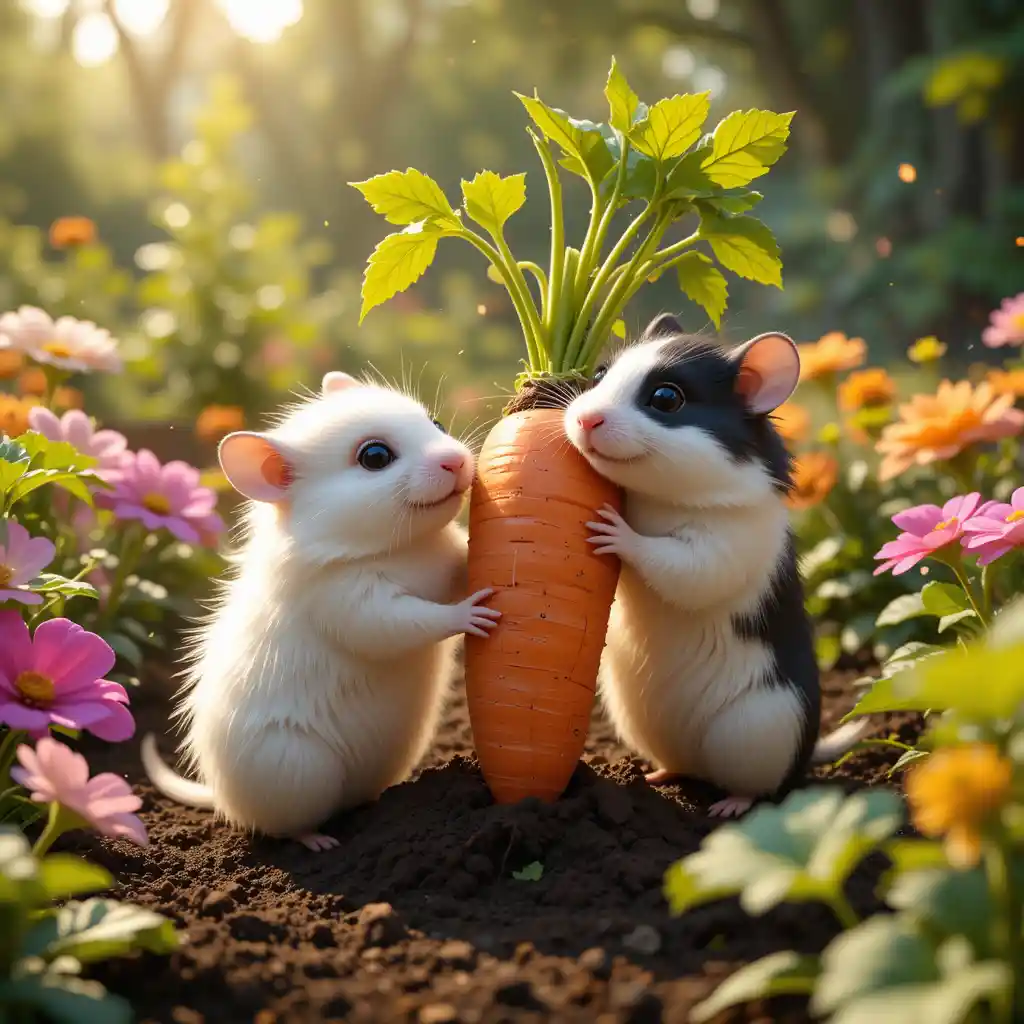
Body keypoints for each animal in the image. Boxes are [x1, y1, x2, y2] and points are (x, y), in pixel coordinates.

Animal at [141, 371, 500, 850]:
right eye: (374, 457)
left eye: (437, 423)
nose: (457, 462)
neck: (401, 548)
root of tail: (223, 798)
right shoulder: (345, 600)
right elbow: (399, 624)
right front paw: (469, 616)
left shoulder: (443, 561)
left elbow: (458, 564)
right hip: (303, 771)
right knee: (287, 826)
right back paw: (316, 840)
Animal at [563, 314, 868, 817]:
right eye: (601, 374)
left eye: (666, 399)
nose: (586, 419)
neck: (660, 500)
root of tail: (806, 754)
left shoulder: (719, 550)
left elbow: (677, 565)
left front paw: (616, 532)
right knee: (678, 765)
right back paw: (658, 775)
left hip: (753, 732)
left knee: (758, 787)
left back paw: (732, 805)